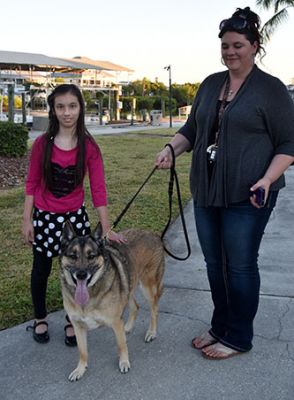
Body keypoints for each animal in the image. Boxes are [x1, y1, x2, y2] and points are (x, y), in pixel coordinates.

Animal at [59, 222, 165, 382]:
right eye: (73, 256)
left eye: (91, 256)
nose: (81, 275)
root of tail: (153, 234)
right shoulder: (78, 326)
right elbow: (82, 352)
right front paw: (80, 369)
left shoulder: (115, 322)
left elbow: (121, 345)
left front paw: (124, 362)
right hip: (128, 285)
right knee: (135, 306)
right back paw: (128, 327)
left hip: (148, 287)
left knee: (154, 310)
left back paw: (151, 332)